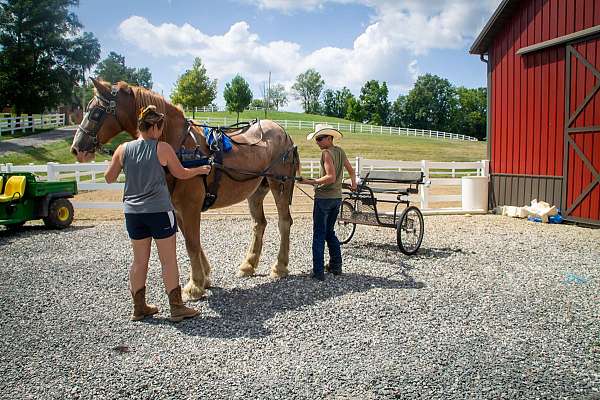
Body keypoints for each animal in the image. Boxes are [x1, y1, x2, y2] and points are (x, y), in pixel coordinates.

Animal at [71, 79, 298, 300]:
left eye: (96, 113)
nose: (76, 149)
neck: (179, 147)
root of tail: (283, 132)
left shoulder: (190, 206)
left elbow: (191, 243)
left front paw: (195, 285)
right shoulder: (178, 208)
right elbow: (192, 241)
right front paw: (205, 277)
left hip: (280, 184)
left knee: (284, 222)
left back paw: (279, 266)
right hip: (256, 190)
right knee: (259, 224)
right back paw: (248, 264)